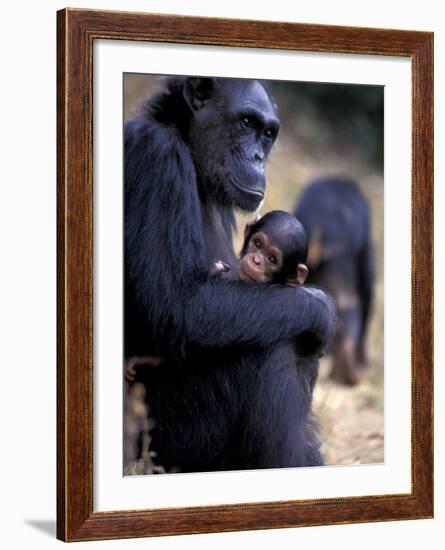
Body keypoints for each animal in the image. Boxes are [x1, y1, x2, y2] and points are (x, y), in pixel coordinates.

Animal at [124, 77, 332, 474]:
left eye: (268, 134)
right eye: (246, 123)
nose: (257, 157)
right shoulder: (156, 156)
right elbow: (180, 307)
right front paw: (321, 306)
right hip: (166, 443)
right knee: (275, 345)